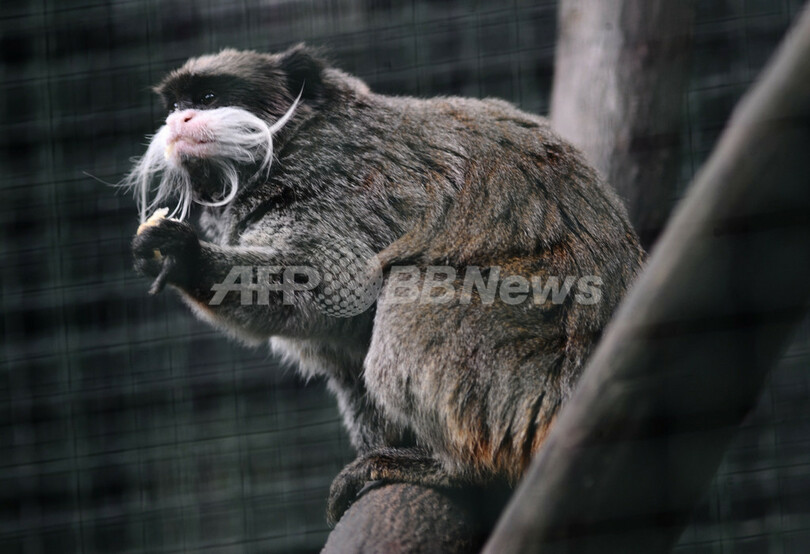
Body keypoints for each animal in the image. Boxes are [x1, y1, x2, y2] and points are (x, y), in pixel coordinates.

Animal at [124, 44, 645, 527]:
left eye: (207, 98)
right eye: (174, 105)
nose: (179, 120)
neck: (288, 143)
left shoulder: (333, 186)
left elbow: (331, 286)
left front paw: (187, 258)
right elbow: (341, 346)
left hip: (528, 375)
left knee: (413, 288)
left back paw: (450, 467)